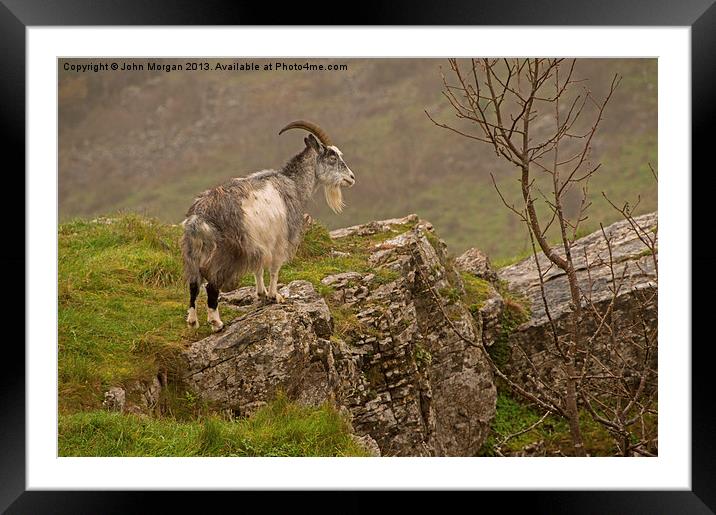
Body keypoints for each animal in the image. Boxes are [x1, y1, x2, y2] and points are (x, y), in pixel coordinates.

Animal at [180, 120, 356, 330]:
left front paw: (261, 294)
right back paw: (216, 322)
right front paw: (275, 296)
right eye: (332, 157)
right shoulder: (281, 239)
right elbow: (274, 269)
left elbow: (258, 269)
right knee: (211, 285)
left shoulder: (260, 244)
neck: (293, 184)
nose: (351, 178)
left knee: (193, 284)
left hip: (193, 252)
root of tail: (198, 217)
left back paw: (192, 321)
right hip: (225, 254)